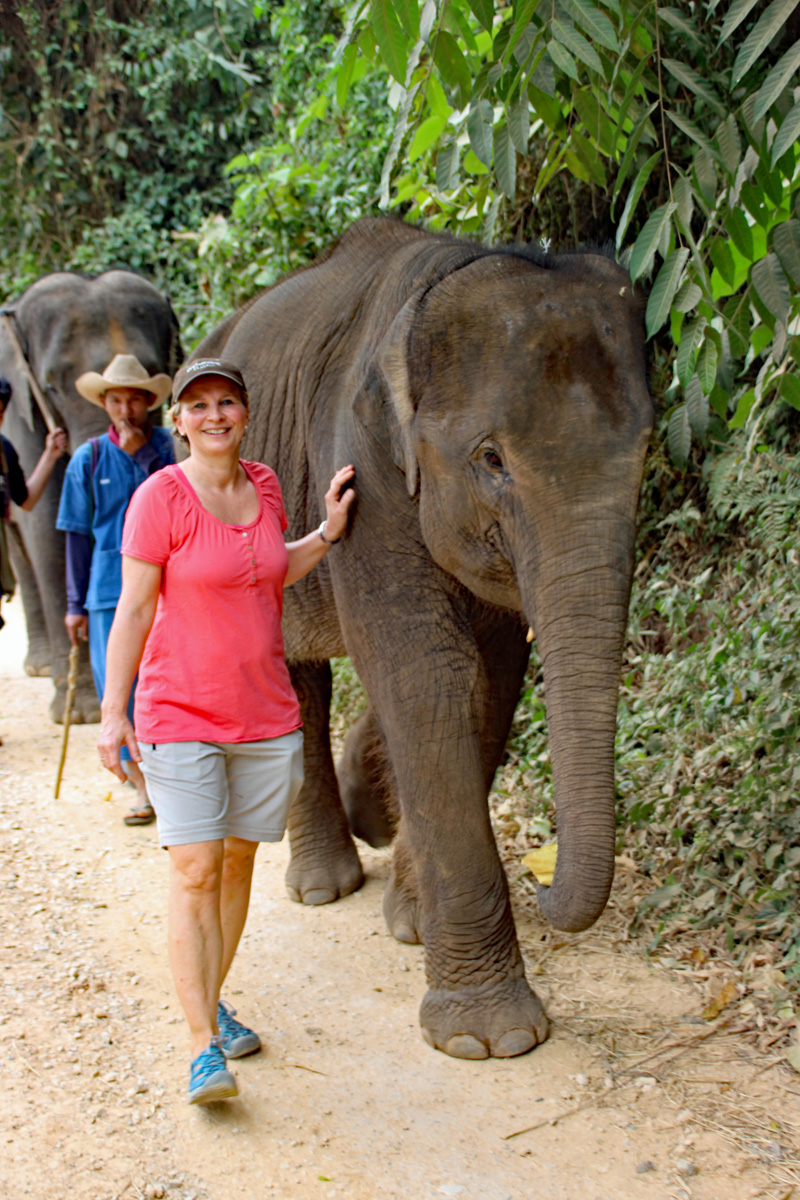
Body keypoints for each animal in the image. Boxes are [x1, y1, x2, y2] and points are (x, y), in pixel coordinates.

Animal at [0, 272, 181, 720]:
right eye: (50, 386)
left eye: (154, 373)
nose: (123, 429)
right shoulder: (24, 418)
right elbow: (48, 529)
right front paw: (80, 712)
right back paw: (43, 668)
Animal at [190, 216, 652, 1060]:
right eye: (492, 459)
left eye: (645, 451)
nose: (543, 881)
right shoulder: (358, 470)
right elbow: (426, 672)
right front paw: (490, 1039)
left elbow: (488, 678)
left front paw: (410, 924)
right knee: (296, 676)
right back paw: (321, 889)